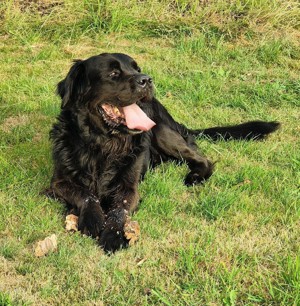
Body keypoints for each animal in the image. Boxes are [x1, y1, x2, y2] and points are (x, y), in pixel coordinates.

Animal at [46, 52, 278, 252]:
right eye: (113, 74)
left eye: (137, 69)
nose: (147, 80)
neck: (103, 144)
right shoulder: (59, 182)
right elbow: (87, 195)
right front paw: (93, 218)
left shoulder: (129, 188)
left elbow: (119, 210)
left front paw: (113, 236)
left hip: (162, 131)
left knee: (202, 157)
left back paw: (195, 176)